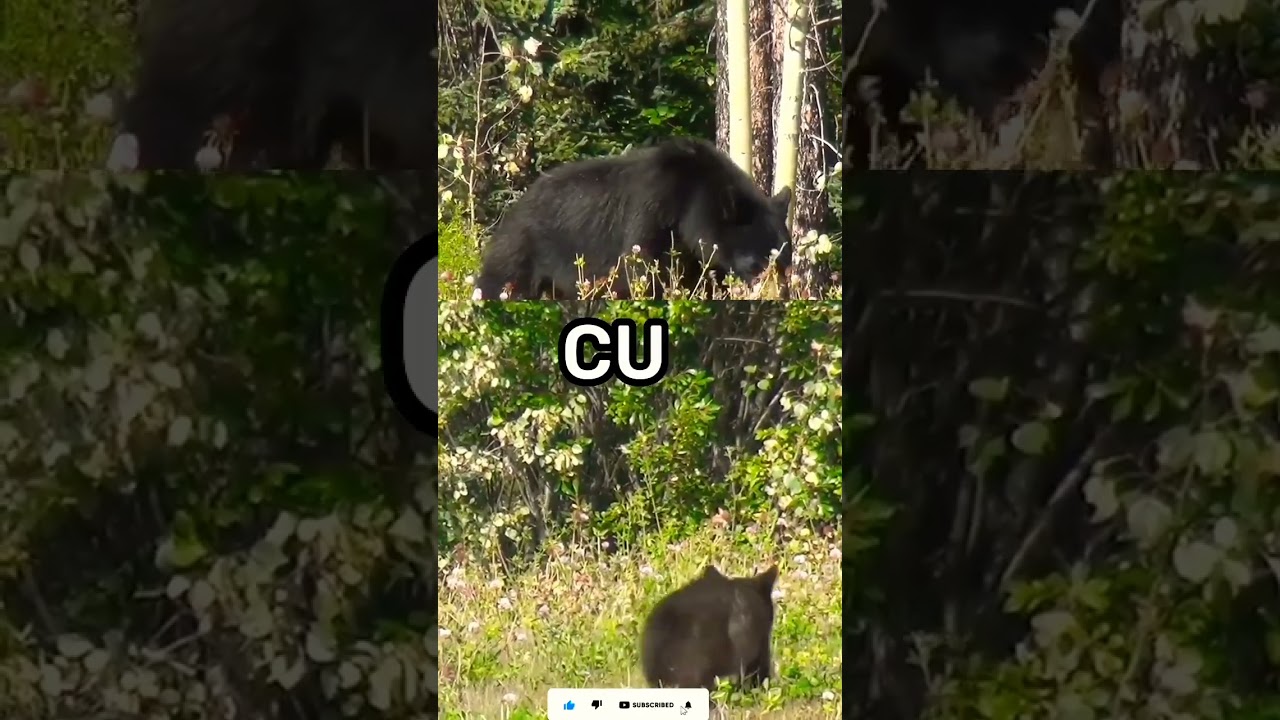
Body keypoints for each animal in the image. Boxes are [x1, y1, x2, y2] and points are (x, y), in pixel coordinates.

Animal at [475, 138, 793, 299]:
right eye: (756, 264)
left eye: (786, 265)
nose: (781, 297)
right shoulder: (654, 211)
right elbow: (641, 270)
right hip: (523, 251)